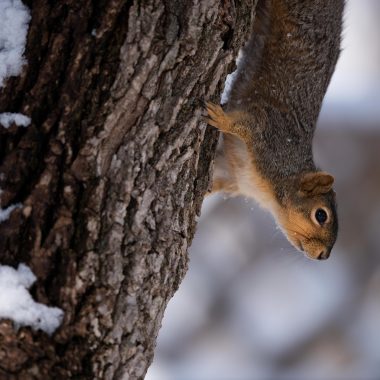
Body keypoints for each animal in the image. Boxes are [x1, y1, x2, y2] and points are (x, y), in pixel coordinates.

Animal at [206, 0, 342, 260]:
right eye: (321, 215)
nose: (324, 256)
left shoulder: (231, 174)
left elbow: (215, 179)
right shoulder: (269, 135)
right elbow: (246, 124)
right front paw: (221, 118)